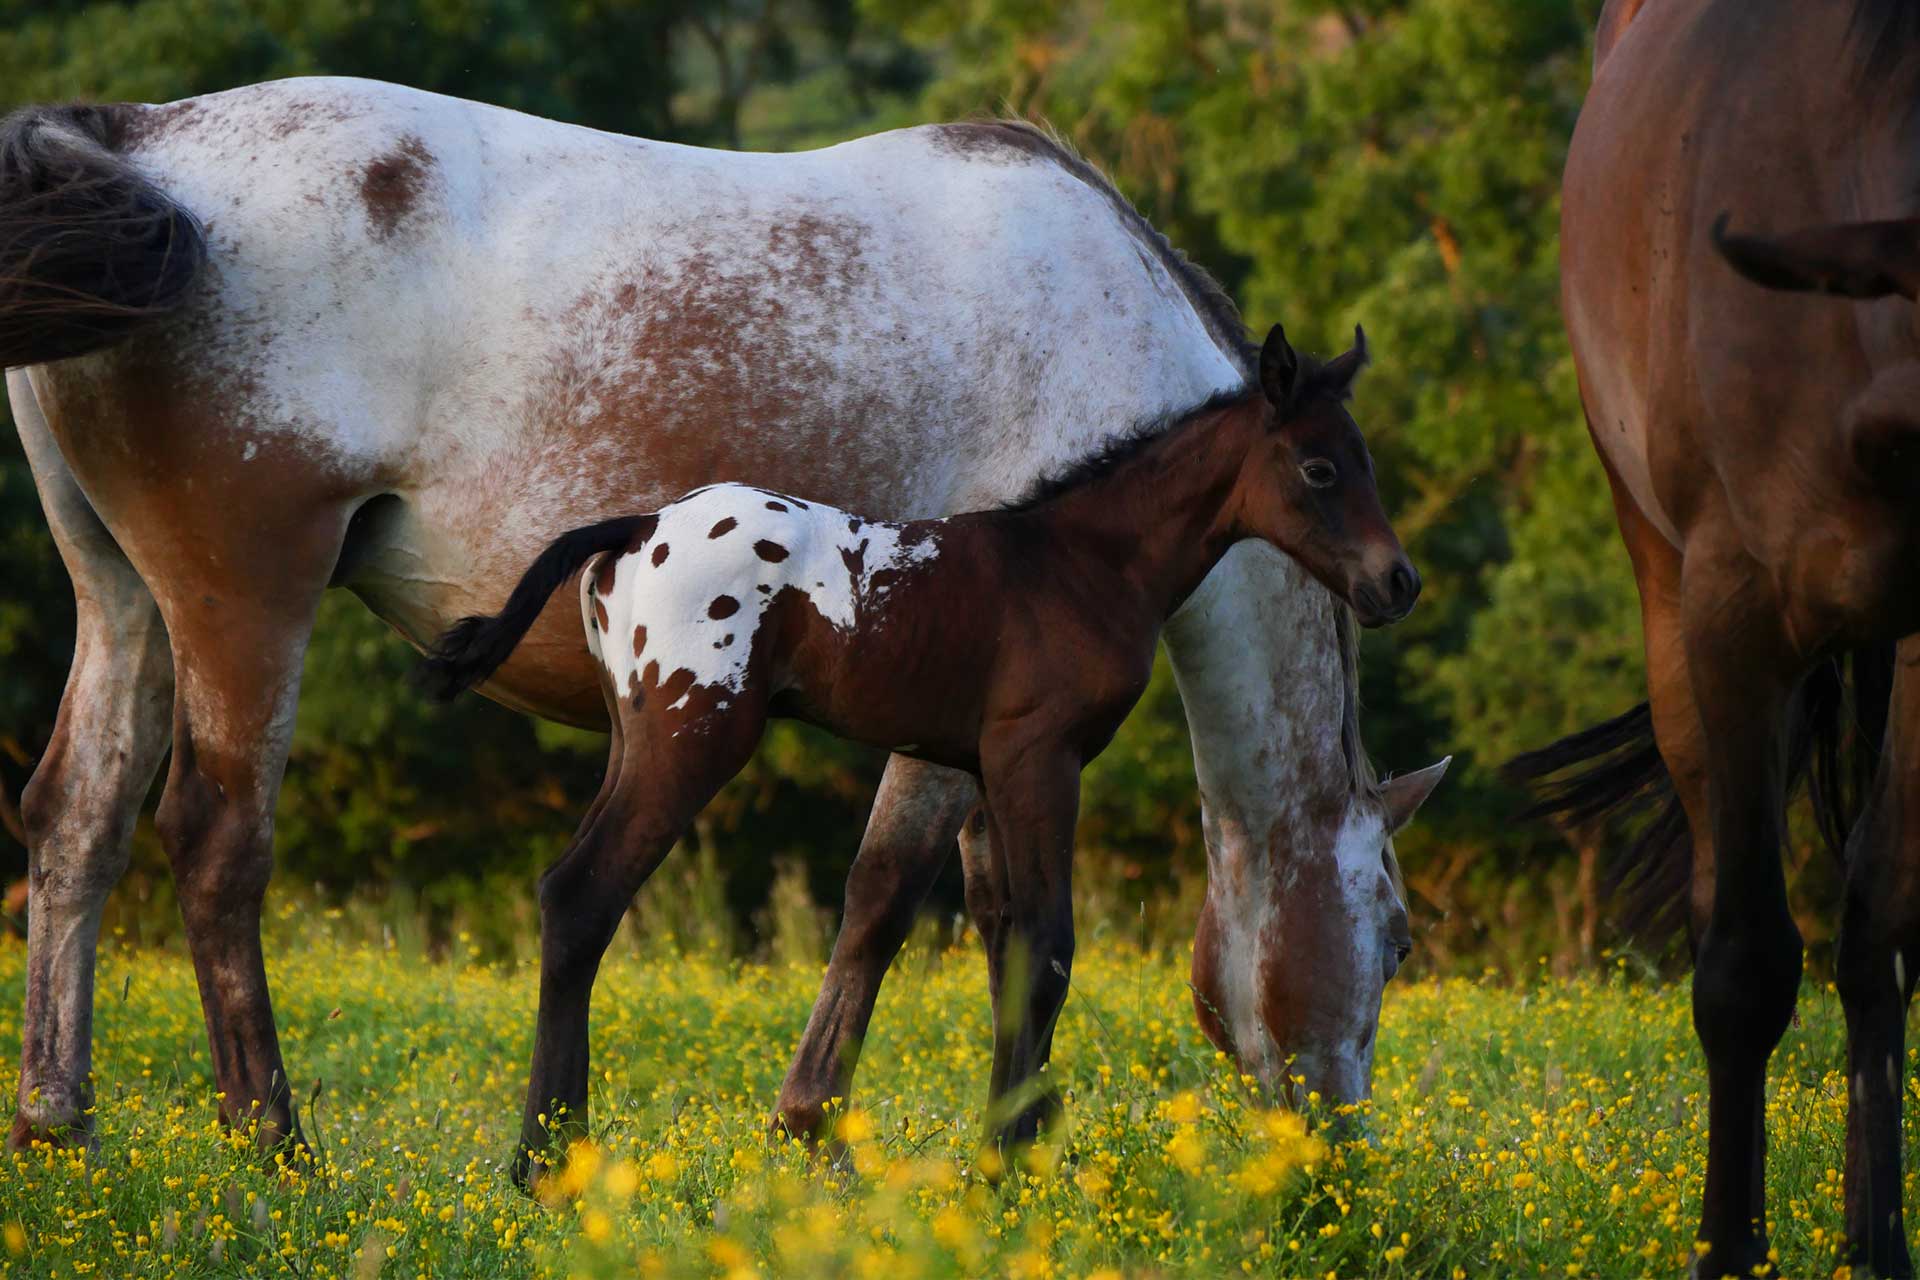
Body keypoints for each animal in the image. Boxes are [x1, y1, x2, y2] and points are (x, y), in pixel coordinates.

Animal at [428, 322, 1420, 1182]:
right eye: (1319, 467)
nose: (1397, 583)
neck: (1080, 562)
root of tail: (635, 528)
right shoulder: (1038, 756)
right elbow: (1049, 945)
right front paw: (1004, 1160)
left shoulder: (987, 769)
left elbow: (1009, 942)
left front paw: (1020, 1139)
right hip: (690, 742)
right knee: (583, 897)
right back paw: (548, 1165)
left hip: (636, 743)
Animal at [1520, 2, 1920, 1274]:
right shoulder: (1737, 616)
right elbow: (1745, 959)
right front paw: (1729, 1246)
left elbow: (1882, 923)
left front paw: (1875, 1244)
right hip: (1668, 602)